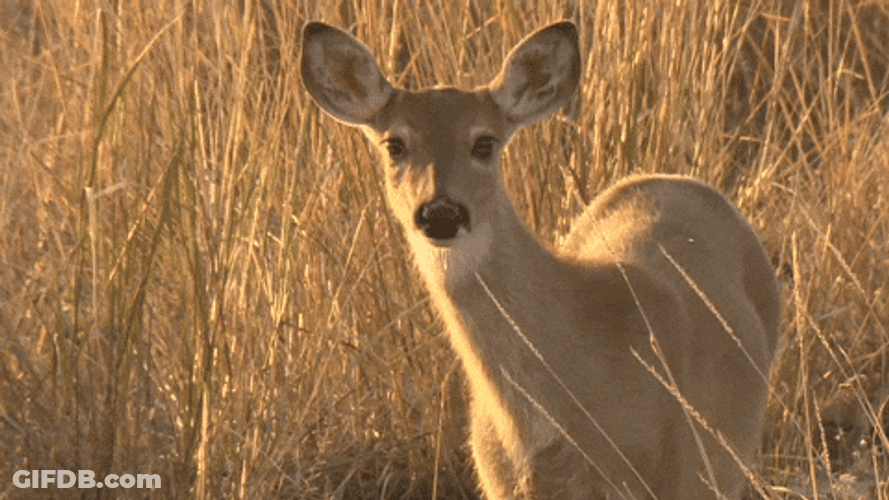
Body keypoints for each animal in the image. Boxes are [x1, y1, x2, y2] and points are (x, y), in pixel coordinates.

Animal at [300, 20, 780, 500]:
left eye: (484, 143)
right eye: (395, 144)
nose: (441, 213)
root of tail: (672, 179)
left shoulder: (675, 472)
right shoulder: (497, 481)